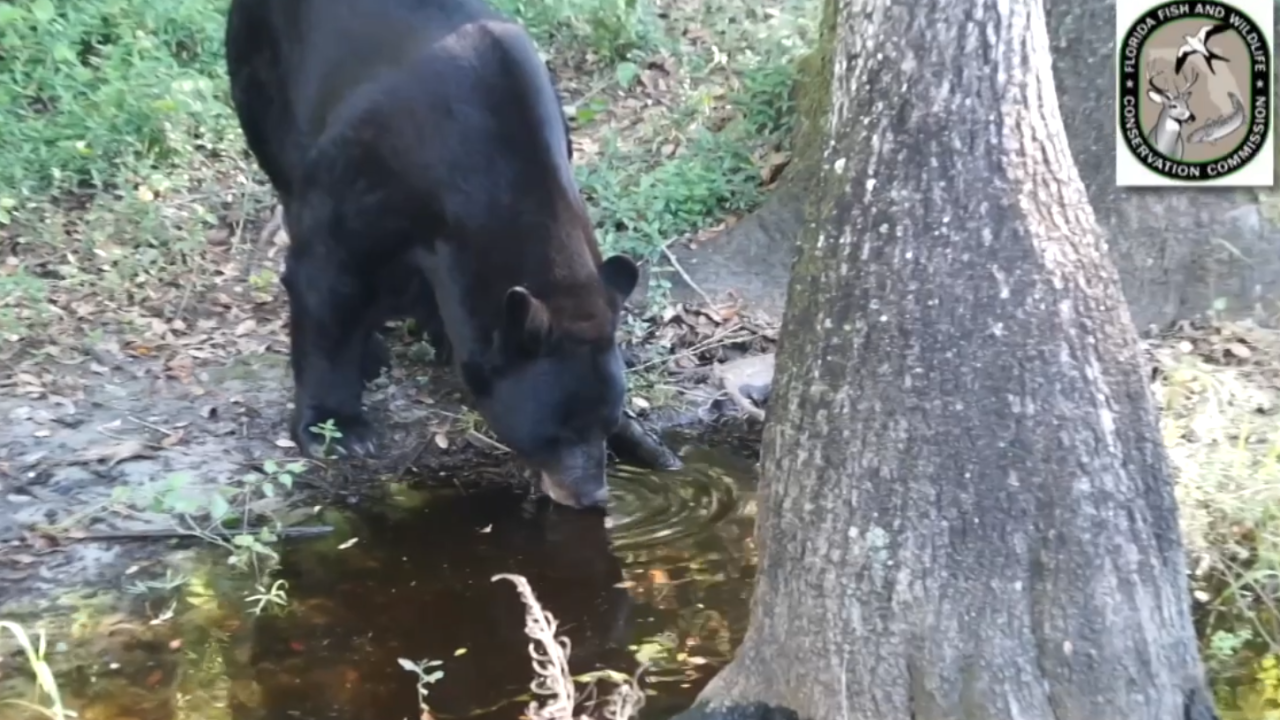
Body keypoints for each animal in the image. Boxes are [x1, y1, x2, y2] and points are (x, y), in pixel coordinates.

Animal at [224, 0, 640, 509]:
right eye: (556, 434)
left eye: (608, 422)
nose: (593, 496)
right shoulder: (362, 171)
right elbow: (325, 278)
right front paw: (337, 429)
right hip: (265, 73)